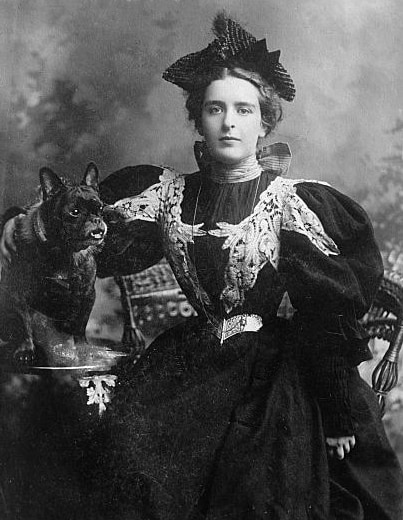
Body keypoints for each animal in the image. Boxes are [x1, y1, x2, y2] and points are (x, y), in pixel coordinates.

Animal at [0, 165, 107, 364]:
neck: (64, 251)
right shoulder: (18, 293)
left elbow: (80, 325)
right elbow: (23, 323)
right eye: (74, 212)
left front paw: (83, 348)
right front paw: (26, 349)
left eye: (100, 208)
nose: (96, 219)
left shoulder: (87, 294)